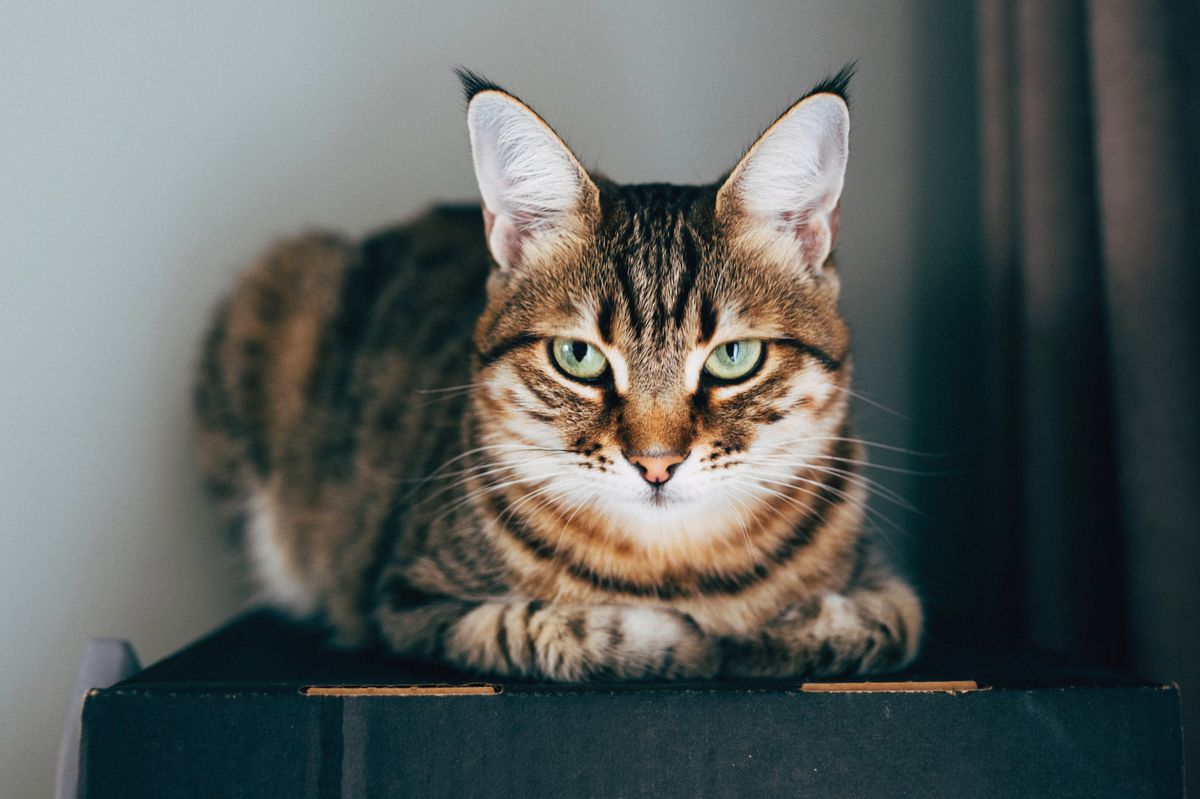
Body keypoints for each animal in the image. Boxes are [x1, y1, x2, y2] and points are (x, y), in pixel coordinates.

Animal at [196, 68, 921, 676]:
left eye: (732, 358)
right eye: (579, 357)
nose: (656, 464)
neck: (673, 566)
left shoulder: (894, 593)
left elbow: (872, 625)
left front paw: (765, 632)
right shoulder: (407, 598)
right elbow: (548, 628)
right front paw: (682, 639)